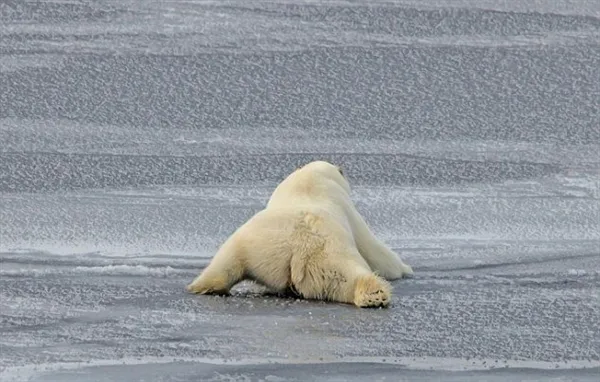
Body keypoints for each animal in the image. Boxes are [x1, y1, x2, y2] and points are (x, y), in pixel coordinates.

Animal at [186, 160, 412, 308]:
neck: (309, 180)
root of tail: (299, 249)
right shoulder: (349, 210)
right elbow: (374, 250)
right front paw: (405, 269)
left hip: (252, 244)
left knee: (225, 263)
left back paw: (205, 285)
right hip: (330, 256)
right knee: (350, 274)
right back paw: (375, 295)